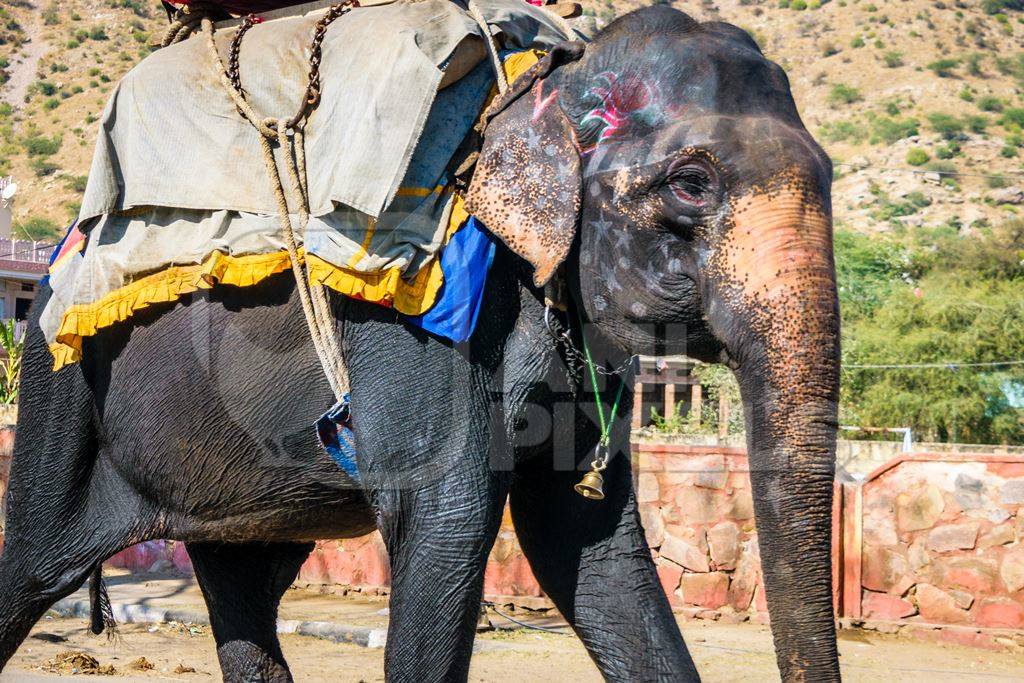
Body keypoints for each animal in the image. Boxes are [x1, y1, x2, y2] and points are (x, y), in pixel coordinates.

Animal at [0, 6, 839, 683]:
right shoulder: (410, 334)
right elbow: (448, 519)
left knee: (245, 584)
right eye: (691, 184)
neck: (549, 79)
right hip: (59, 383)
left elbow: (589, 539)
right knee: (33, 567)